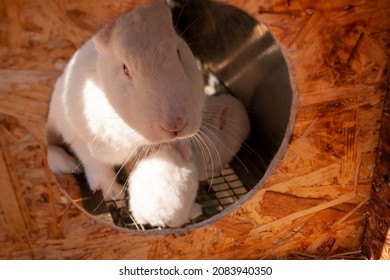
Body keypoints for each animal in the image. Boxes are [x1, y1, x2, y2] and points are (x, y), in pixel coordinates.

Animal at [45, 1, 204, 200]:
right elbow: (98, 168)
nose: (175, 125)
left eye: (178, 52)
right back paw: (67, 164)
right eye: (125, 69)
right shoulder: (78, 138)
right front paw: (114, 193)